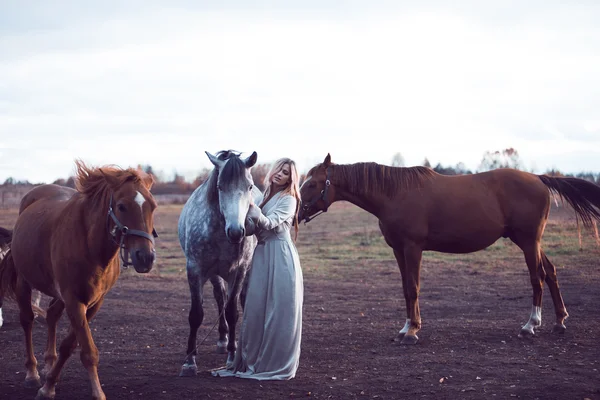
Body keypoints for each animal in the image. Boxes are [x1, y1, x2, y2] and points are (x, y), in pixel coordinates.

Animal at [0, 161, 157, 398]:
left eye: (153, 206)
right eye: (121, 206)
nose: (145, 257)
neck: (91, 246)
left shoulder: (93, 303)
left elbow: (69, 345)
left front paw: (50, 383)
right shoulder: (74, 300)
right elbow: (88, 351)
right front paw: (95, 392)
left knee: (52, 316)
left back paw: (48, 364)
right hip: (24, 283)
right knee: (27, 320)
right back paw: (32, 373)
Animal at [178, 149, 262, 376]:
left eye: (249, 186)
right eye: (220, 187)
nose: (236, 231)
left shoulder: (239, 271)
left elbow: (233, 311)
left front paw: (233, 356)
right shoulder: (195, 270)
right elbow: (196, 314)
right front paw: (189, 361)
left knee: (239, 300)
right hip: (215, 274)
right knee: (219, 297)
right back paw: (222, 339)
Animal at [300, 153, 600, 344]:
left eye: (312, 183)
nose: (298, 213)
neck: (394, 193)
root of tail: (538, 178)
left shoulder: (413, 248)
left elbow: (413, 288)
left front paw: (412, 332)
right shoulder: (398, 250)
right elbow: (405, 289)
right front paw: (405, 328)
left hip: (528, 242)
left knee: (537, 277)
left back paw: (530, 326)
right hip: (529, 241)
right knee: (551, 272)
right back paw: (559, 321)